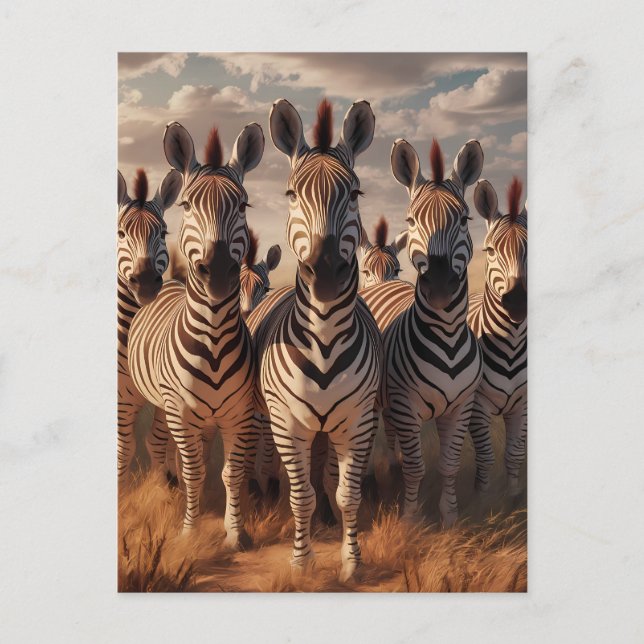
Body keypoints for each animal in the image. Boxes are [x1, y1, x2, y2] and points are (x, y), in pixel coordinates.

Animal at [128, 120, 265, 548]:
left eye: (243, 206)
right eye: (187, 205)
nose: (218, 271)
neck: (215, 340)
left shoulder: (239, 413)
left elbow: (230, 473)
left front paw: (235, 531)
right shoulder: (180, 410)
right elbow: (193, 471)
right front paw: (189, 530)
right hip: (158, 402)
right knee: (166, 448)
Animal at [247, 98, 381, 581]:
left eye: (355, 194)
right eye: (291, 195)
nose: (324, 275)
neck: (323, 336)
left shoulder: (358, 421)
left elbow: (348, 495)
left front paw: (351, 562)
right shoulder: (287, 422)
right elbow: (299, 493)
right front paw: (301, 562)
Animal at [359, 137, 484, 527]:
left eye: (464, 219)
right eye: (412, 219)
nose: (441, 286)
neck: (447, 335)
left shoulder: (460, 407)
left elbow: (448, 465)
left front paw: (449, 518)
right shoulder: (405, 402)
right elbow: (417, 467)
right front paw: (411, 519)